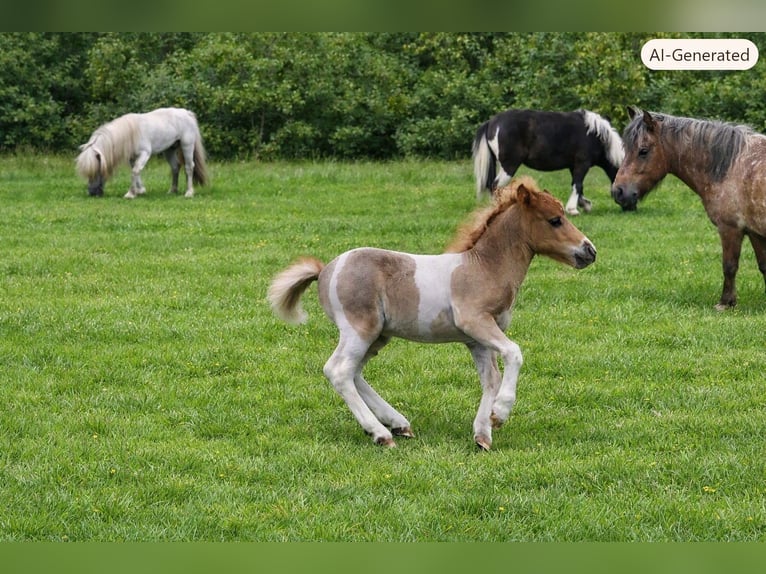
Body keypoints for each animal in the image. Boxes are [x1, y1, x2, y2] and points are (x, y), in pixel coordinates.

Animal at [76, 107, 209, 199]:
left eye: (96, 170)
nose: (92, 192)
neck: (130, 134)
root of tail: (187, 113)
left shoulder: (145, 153)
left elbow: (135, 171)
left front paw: (130, 194)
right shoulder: (132, 157)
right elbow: (135, 171)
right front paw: (140, 191)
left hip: (187, 145)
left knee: (189, 167)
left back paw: (189, 192)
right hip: (169, 150)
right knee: (175, 167)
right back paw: (172, 191)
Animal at [268, 176, 596, 450]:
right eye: (555, 220)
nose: (590, 251)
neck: (485, 268)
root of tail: (325, 270)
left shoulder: (477, 340)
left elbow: (490, 378)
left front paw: (483, 434)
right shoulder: (475, 322)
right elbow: (514, 353)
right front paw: (500, 414)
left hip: (377, 336)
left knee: (355, 372)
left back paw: (398, 424)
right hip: (359, 329)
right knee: (338, 371)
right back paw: (381, 434)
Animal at [473, 108, 625, 215]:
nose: (628, 209)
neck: (596, 136)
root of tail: (491, 122)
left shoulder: (574, 166)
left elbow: (577, 186)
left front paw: (584, 205)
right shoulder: (582, 164)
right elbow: (578, 185)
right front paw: (573, 209)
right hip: (509, 166)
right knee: (495, 186)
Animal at [612, 106, 766, 310]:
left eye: (643, 151)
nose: (618, 191)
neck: (731, 167)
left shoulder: (730, 229)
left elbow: (729, 266)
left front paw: (725, 303)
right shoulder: (754, 231)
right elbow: (764, 266)